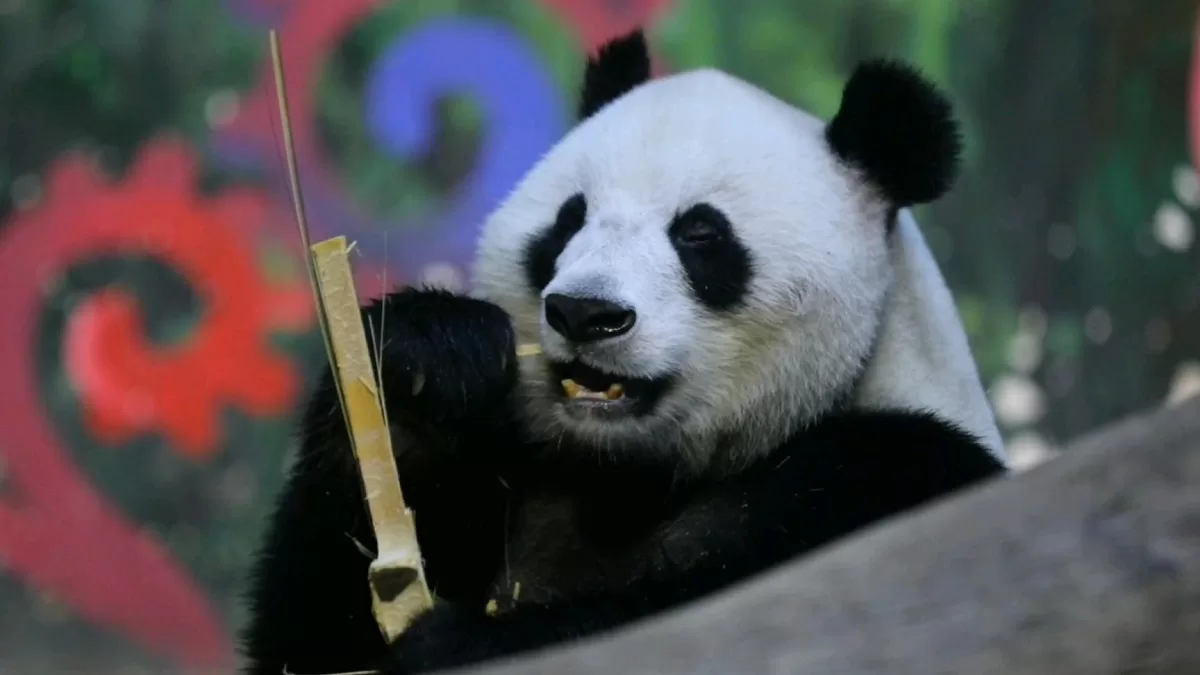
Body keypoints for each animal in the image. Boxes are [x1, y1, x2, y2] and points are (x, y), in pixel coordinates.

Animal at [241, 28, 1008, 675]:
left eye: (700, 235)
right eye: (568, 218)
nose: (586, 313)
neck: (623, 476)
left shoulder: (894, 472)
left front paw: (453, 644)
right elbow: (310, 639)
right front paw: (429, 363)